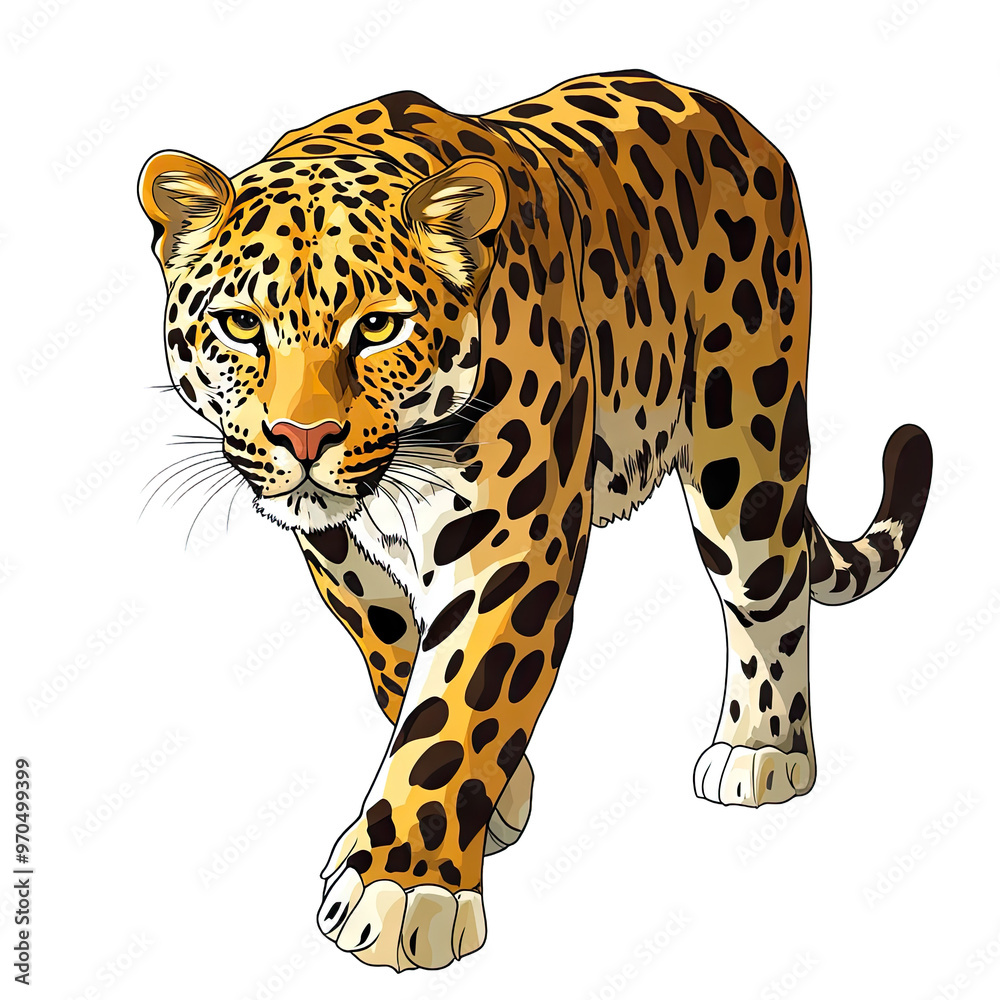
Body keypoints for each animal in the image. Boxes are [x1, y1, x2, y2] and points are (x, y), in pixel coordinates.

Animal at [138, 69, 932, 972]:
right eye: (241, 325)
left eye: (378, 327)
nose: (301, 437)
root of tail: (734, 119)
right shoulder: (340, 553)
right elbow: (398, 660)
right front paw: (493, 806)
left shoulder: (512, 545)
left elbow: (458, 710)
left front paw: (404, 886)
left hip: (745, 434)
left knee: (771, 589)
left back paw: (761, 751)